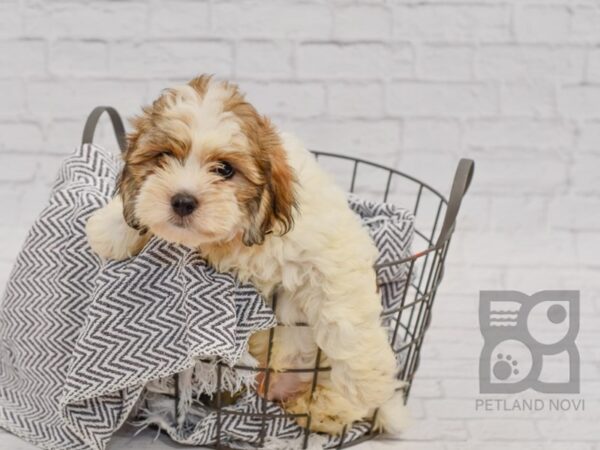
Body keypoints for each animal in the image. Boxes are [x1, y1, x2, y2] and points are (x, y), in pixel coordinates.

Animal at [85, 75, 408, 434]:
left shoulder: (330, 257)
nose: (182, 201)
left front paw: (368, 382)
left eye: (225, 170)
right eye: (164, 156)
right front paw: (109, 228)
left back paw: (328, 407)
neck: (238, 238)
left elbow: (345, 318)